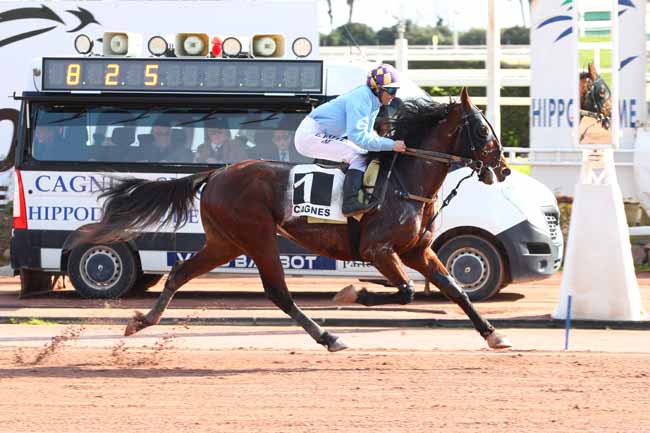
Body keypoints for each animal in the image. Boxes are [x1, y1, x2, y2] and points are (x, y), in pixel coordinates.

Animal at [83, 88, 512, 352]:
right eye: (481, 128)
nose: (504, 167)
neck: (407, 180)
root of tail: (217, 173)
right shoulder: (378, 249)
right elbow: (406, 291)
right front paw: (354, 294)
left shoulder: (416, 251)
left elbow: (456, 289)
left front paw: (493, 335)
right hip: (257, 237)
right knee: (279, 293)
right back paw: (328, 336)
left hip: (225, 242)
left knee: (179, 272)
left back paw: (141, 321)